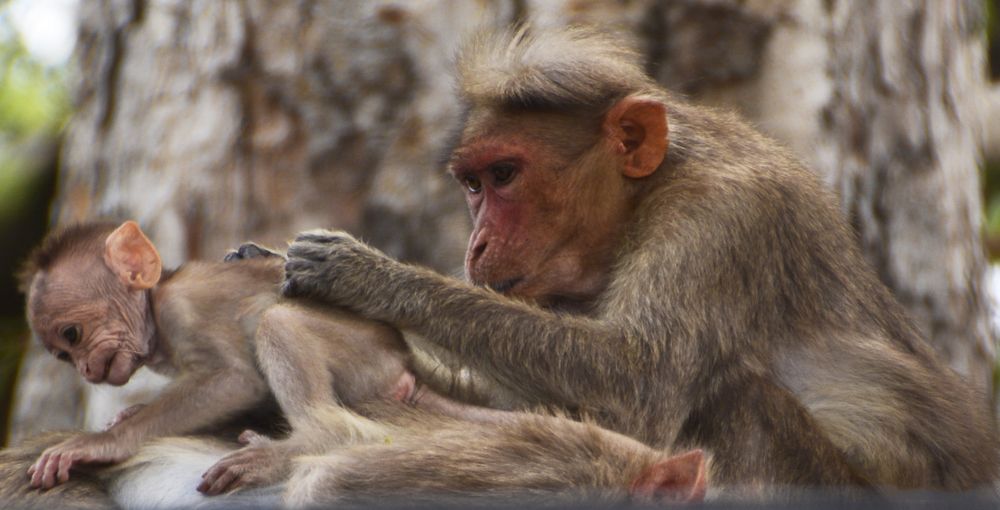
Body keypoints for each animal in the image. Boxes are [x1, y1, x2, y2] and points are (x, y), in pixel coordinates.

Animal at [276, 26, 1000, 491]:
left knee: (737, 398)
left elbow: (638, 381)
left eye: (505, 175)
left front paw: (369, 276)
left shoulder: (720, 221)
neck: (645, 195)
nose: (474, 245)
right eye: (473, 185)